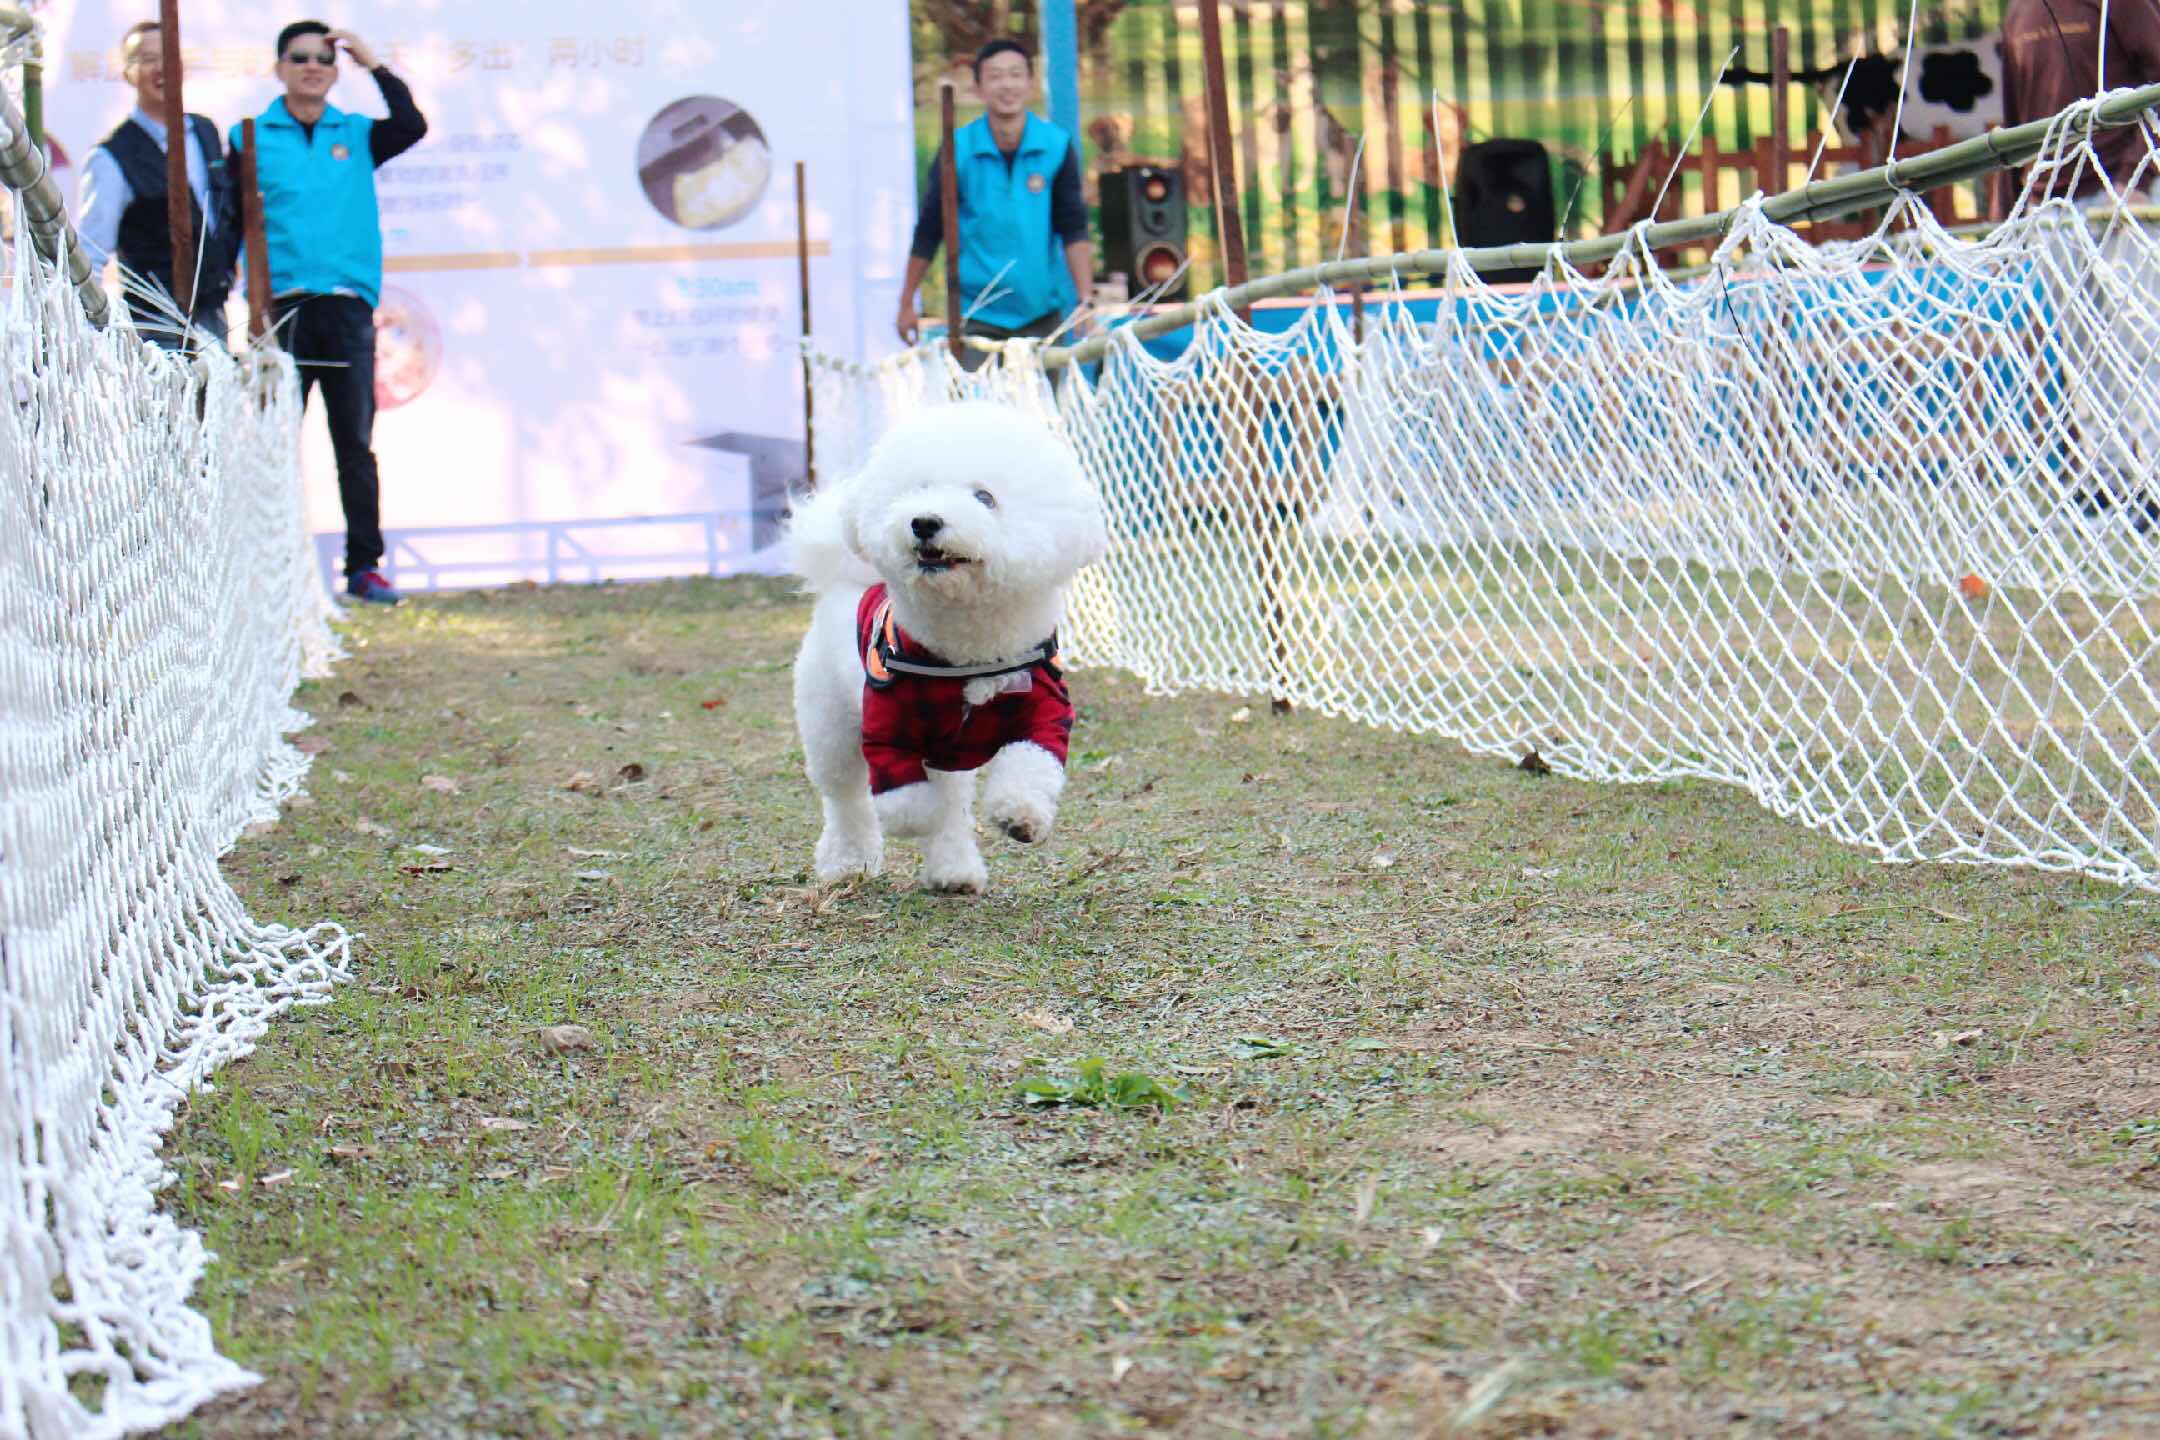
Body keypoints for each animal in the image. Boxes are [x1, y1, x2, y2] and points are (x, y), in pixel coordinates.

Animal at [786, 405, 1105, 893]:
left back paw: (954, 871)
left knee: (950, 805)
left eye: (985, 497)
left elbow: (1030, 763)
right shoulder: (887, 726)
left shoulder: (1045, 714)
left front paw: (1020, 814)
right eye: (918, 490)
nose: (924, 521)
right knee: (846, 798)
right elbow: (907, 800)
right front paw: (914, 816)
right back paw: (847, 862)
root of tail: (846, 578)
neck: (965, 652)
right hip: (829, 722)